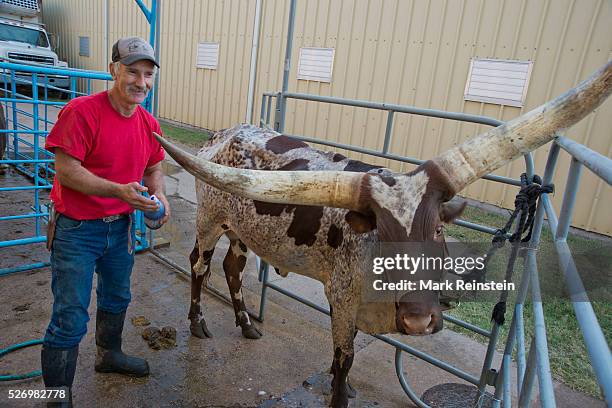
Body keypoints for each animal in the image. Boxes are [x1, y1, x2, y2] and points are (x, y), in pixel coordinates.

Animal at [154, 61, 612, 408]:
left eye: (438, 230)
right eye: (383, 234)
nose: (417, 320)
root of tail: (221, 135)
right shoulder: (342, 300)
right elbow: (344, 358)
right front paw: (340, 393)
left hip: (244, 229)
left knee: (232, 267)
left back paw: (247, 323)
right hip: (210, 220)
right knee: (200, 265)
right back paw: (197, 323)